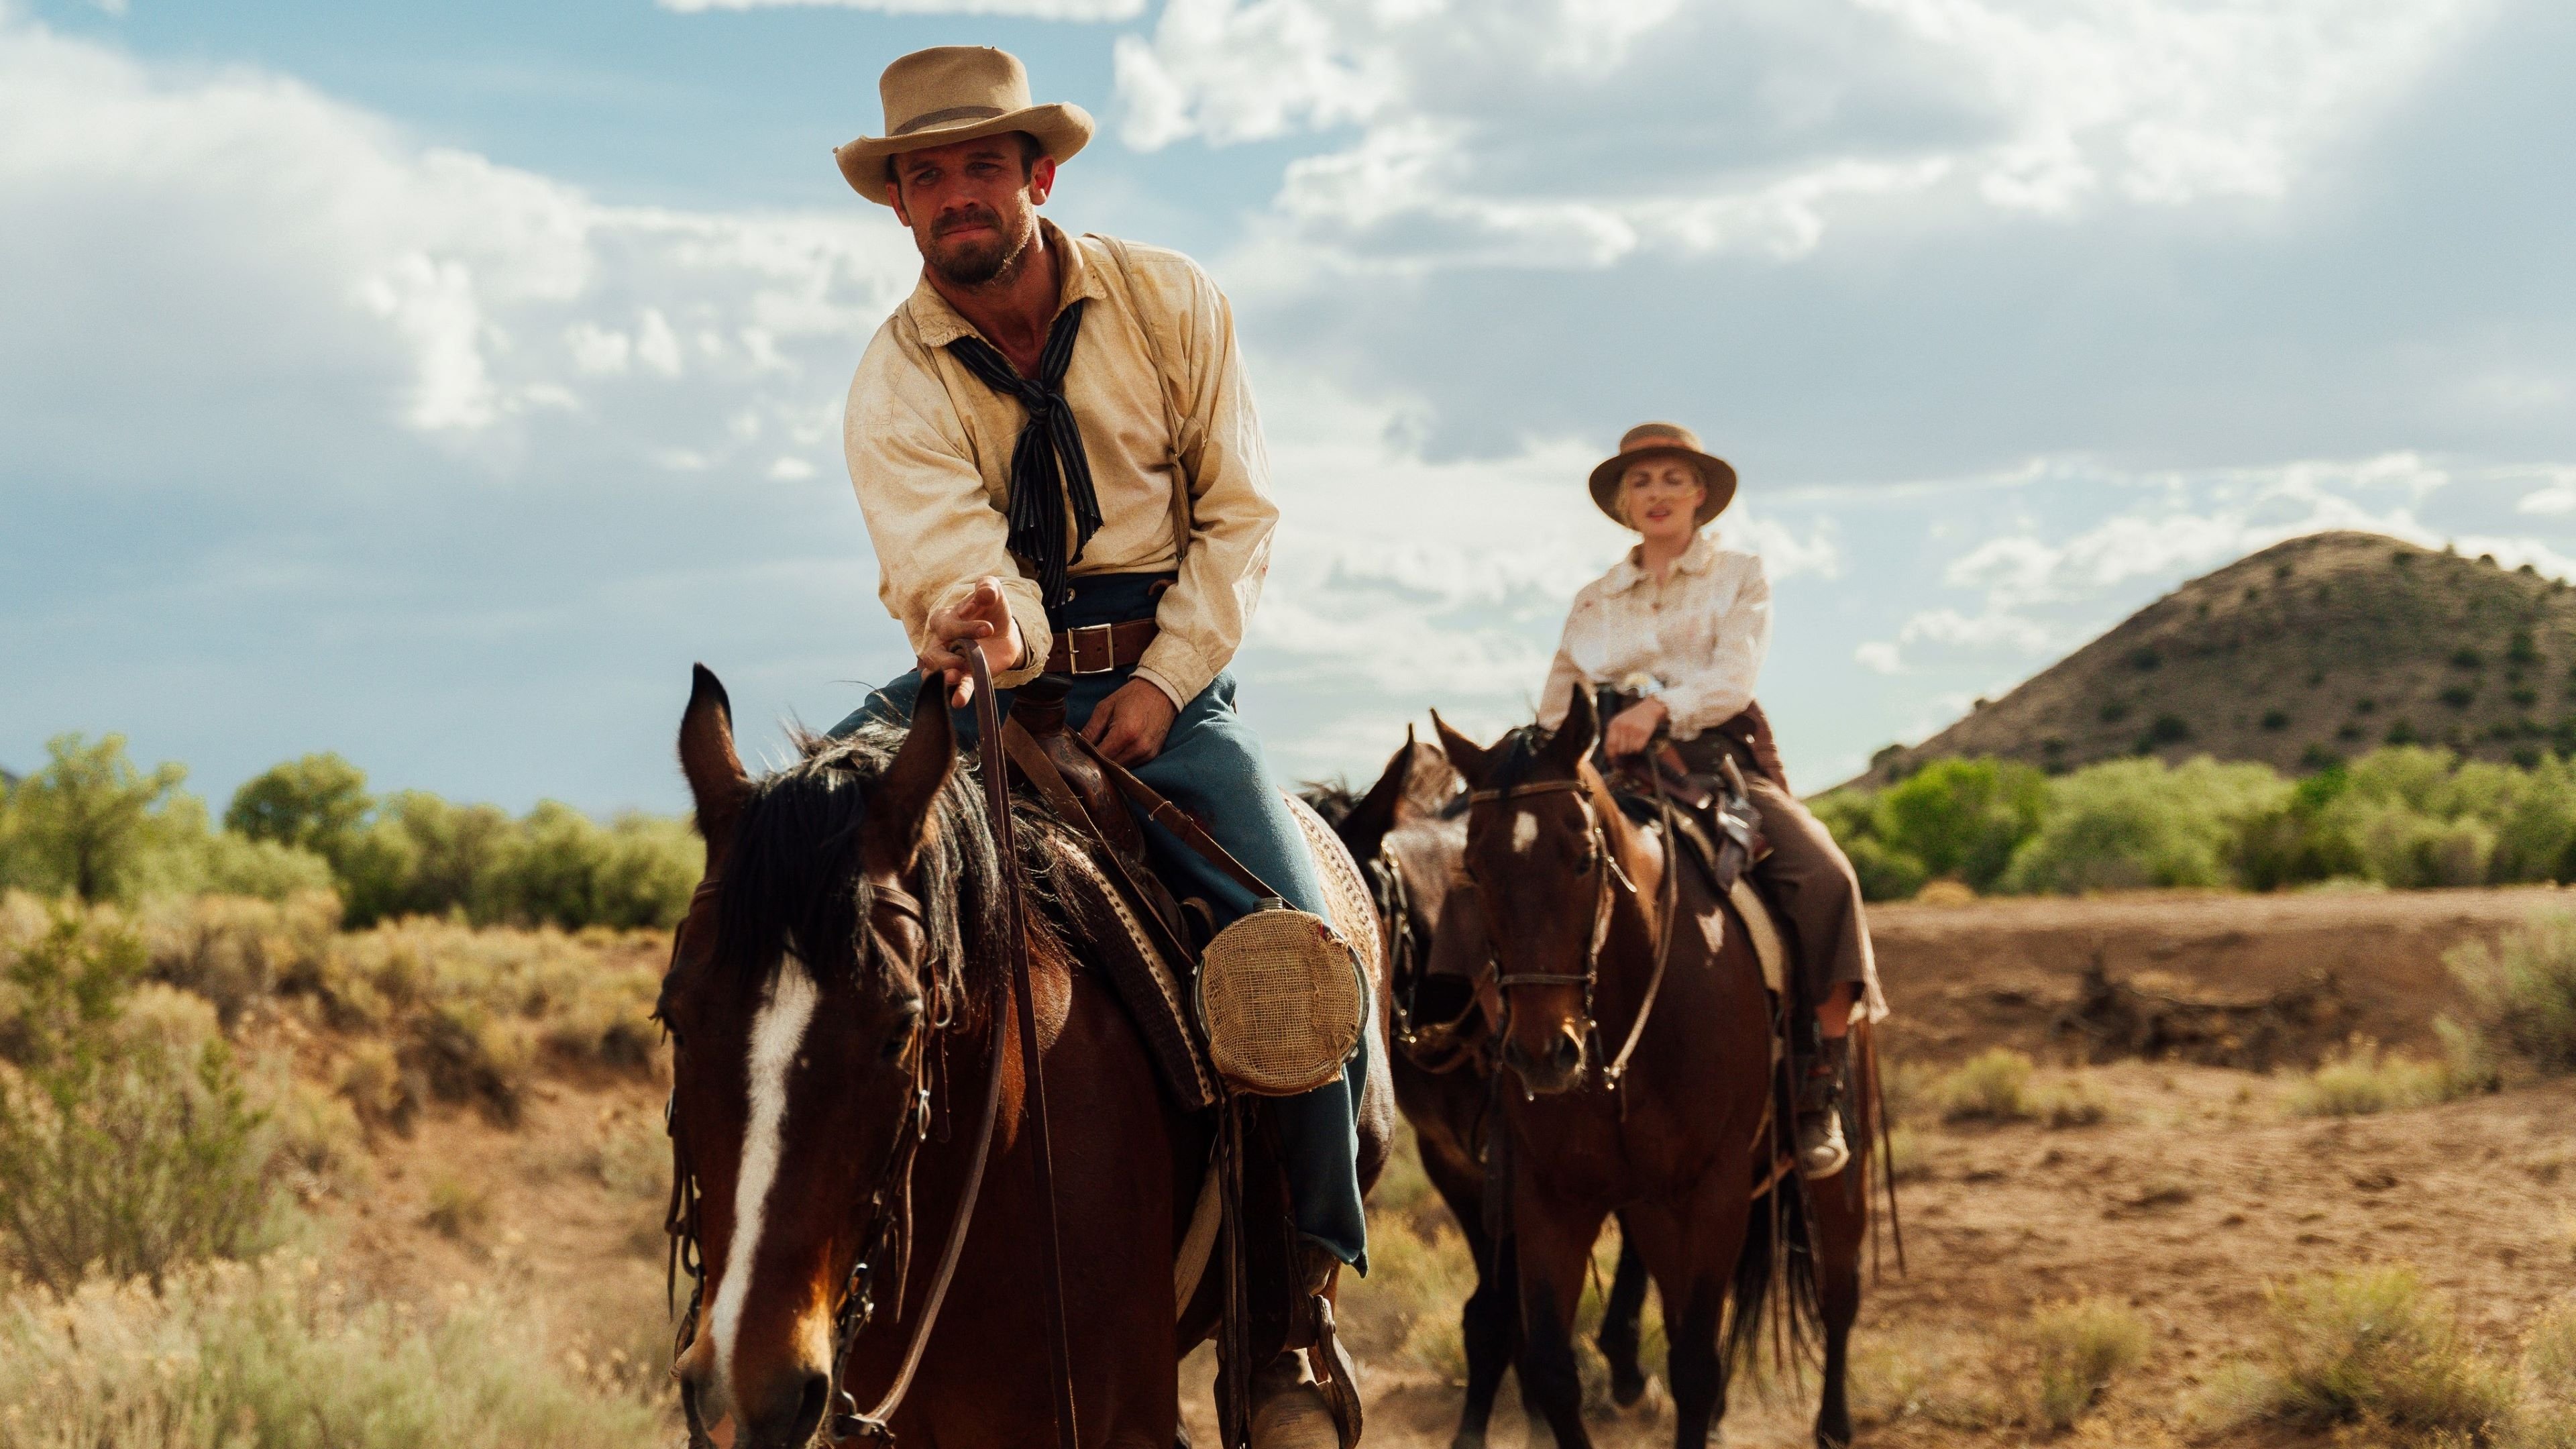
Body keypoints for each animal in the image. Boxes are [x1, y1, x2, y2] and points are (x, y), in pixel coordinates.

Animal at [1432, 691, 1875, 1444]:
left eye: (1584, 858)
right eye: (1474, 866)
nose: (1543, 1054)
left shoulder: (1713, 1191)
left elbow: (1694, 1365)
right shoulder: (1553, 1197)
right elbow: (1553, 1368)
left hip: (1837, 1168)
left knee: (1839, 1289)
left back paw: (1835, 1424)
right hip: (1650, 1213)